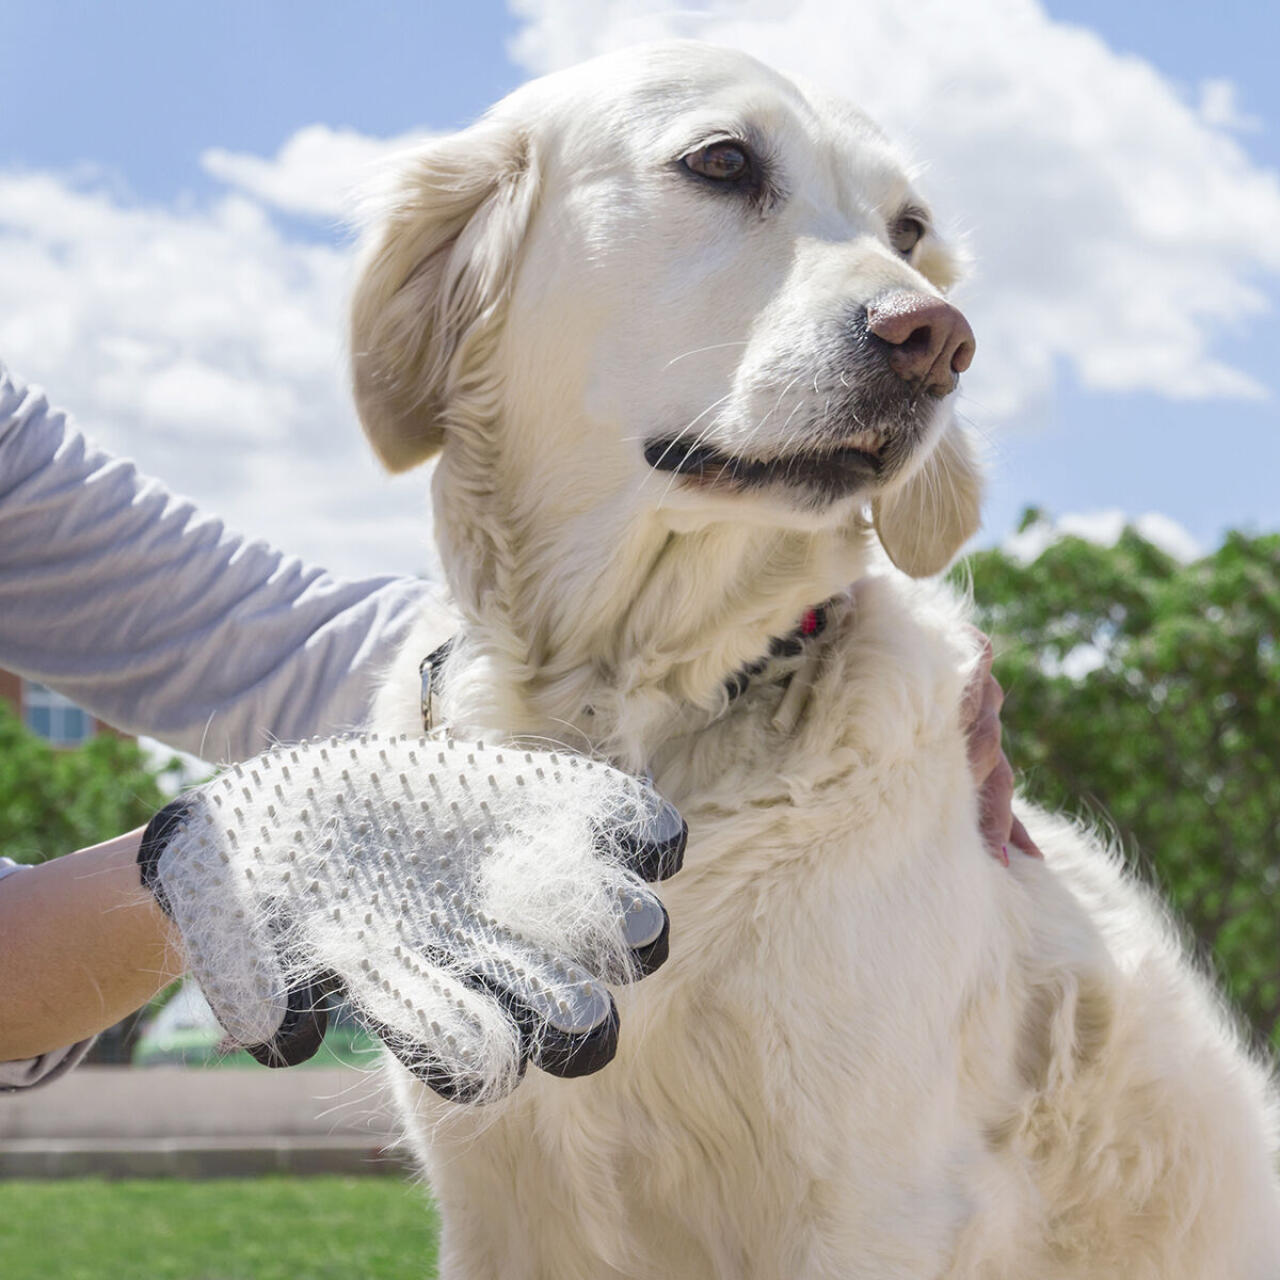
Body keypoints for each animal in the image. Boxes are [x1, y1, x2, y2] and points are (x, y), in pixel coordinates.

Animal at [350, 40, 1280, 1280]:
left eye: (909, 228)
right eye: (721, 161)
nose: (937, 338)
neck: (627, 702)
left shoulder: (870, 1199)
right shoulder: (497, 1201)